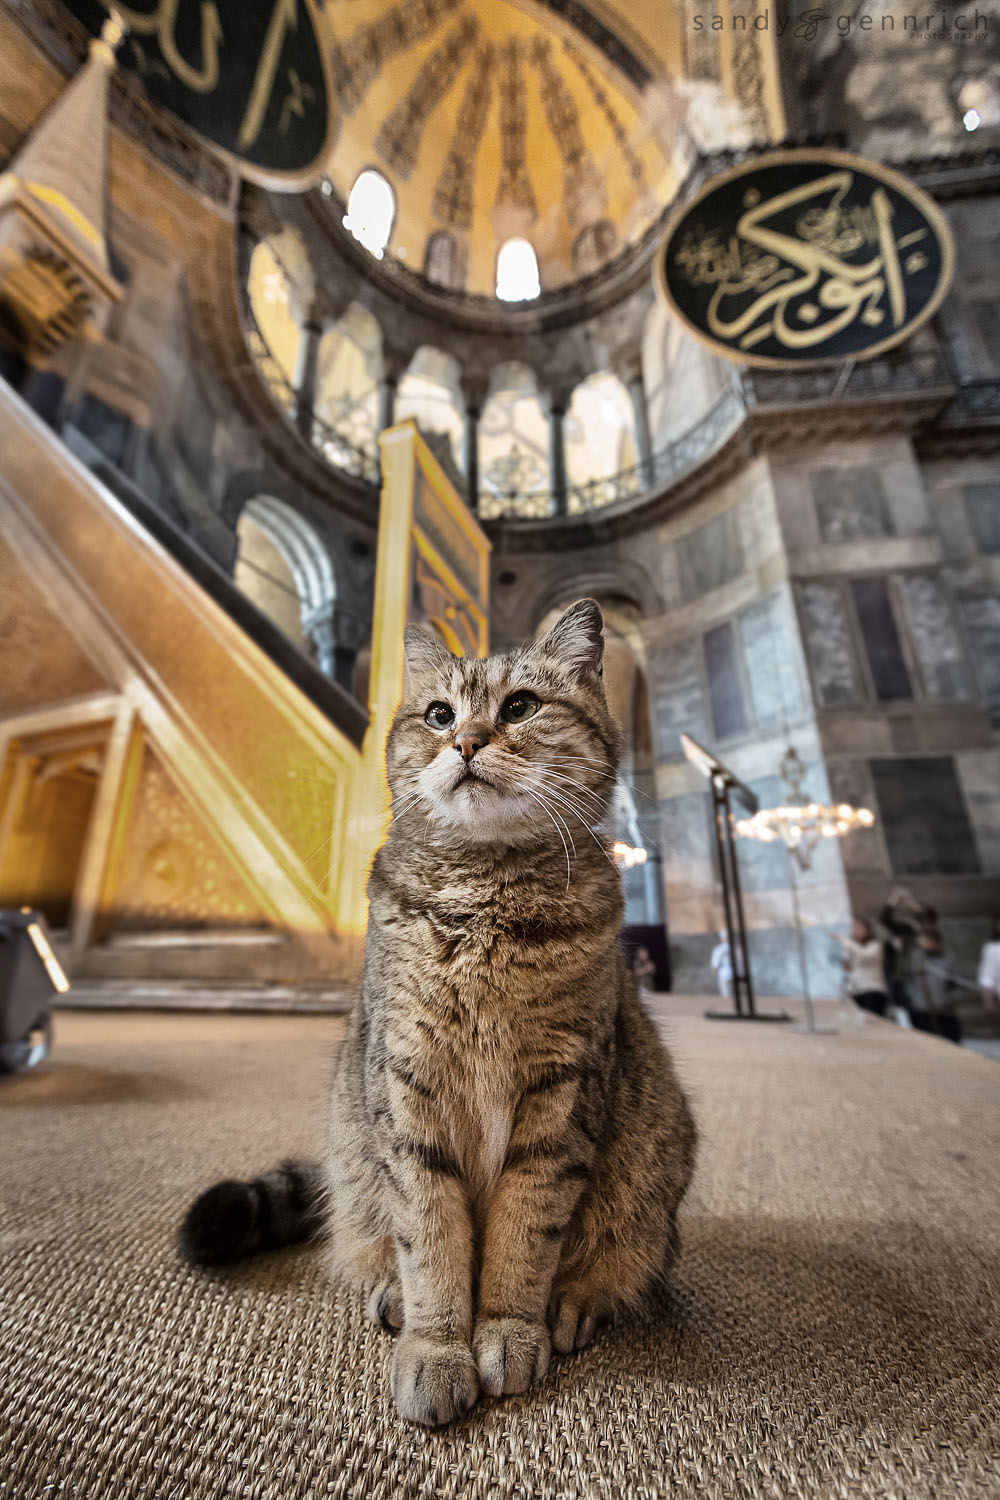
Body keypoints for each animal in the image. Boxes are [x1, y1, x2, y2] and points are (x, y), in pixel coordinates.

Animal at [179, 600, 695, 1428]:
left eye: (520, 706)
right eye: (438, 714)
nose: (467, 741)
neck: (482, 908)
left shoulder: (559, 1099)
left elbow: (524, 1237)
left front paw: (510, 1329)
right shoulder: (408, 1089)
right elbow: (432, 1240)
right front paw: (437, 1345)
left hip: (650, 1182)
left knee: (625, 1260)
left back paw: (577, 1302)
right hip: (355, 1161)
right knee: (372, 1238)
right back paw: (391, 1292)